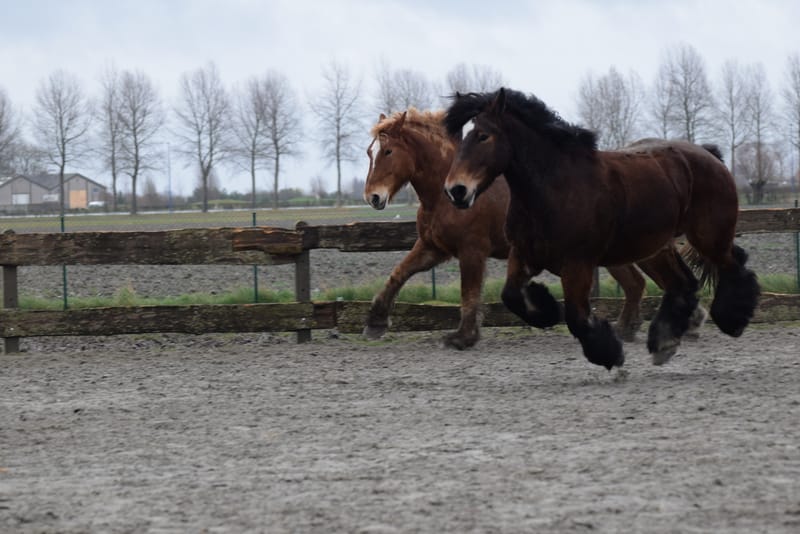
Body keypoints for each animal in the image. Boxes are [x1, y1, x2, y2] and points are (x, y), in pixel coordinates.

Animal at [362, 108, 667, 349]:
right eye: (369, 152)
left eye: (388, 151)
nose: (373, 197)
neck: (444, 194)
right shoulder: (432, 248)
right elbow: (398, 274)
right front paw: (375, 322)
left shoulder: (472, 251)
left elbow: (469, 293)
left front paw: (464, 337)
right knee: (636, 284)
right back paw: (626, 330)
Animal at [443, 88, 759, 369]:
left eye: (483, 136)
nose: (456, 190)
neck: (556, 188)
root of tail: (707, 155)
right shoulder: (523, 255)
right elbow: (511, 296)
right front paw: (547, 310)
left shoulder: (578, 264)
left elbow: (577, 317)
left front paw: (610, 354)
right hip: (655, 249)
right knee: (684, 284)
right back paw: (664, 343)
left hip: (708, 236)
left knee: (734, 267)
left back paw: (732, 320)